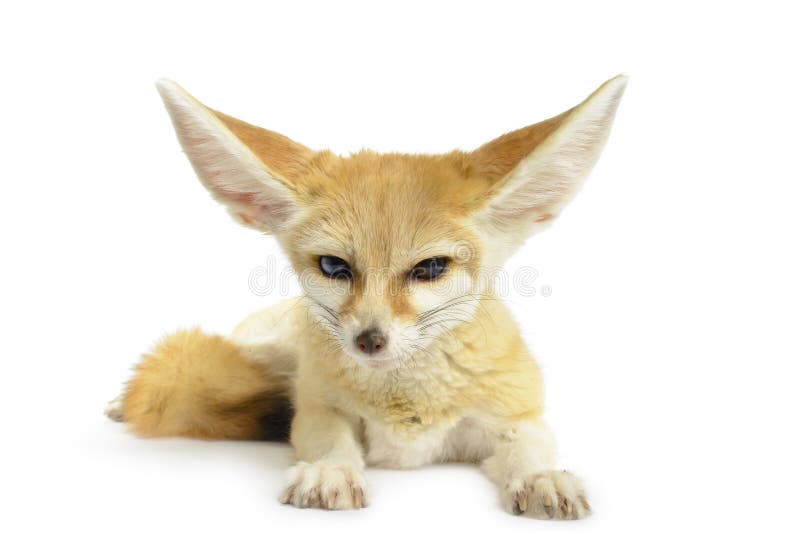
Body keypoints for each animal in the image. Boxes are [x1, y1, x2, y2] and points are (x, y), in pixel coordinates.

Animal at [105, 75, 627, 519]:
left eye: (430, 268)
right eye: (333, 267)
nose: (369, 341)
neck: (405, 403)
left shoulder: (517, 413)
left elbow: (530, 449)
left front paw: (541, 478)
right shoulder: (317, 408)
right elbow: (330, 438)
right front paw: (331, 470)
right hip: (268, 354)